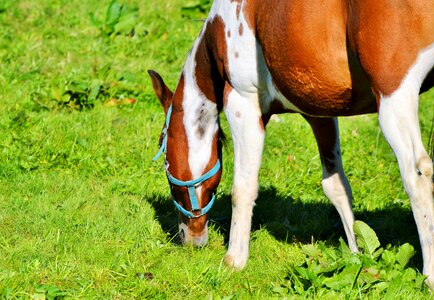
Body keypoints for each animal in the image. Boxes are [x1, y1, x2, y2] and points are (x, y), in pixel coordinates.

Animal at [149, 0, 434, 286]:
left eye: (165, 158)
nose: (188, 238)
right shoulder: (319, 113)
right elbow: (336, 186)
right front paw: (357, 254)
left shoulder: (242, 103)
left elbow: (243, 188)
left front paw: (234, 260)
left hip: (393, 99)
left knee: (418, 176)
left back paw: (429, 277)